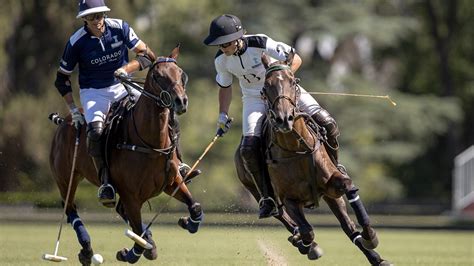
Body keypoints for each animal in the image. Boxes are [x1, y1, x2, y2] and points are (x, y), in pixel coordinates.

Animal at [49, 45, 202, 264]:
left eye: (180, 74)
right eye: (157, 76)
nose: (181, 101)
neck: (150, 145)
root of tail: (65, 120)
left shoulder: (172, 183)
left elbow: (195, 207)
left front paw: (186, 222)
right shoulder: (131, 196)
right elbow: (137, 234)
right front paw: (130, 253)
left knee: (116, 211)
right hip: (65, 178)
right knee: (70, 207)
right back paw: (86, 250)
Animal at [234, 51, 392, 264]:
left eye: (293, 81)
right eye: (266, 85)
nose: (284, 119)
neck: (295, 148)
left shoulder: (332, 185)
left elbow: (349, 188)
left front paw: (371, 237)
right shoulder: (290, 198)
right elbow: (307, 231)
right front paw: (306, 244)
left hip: (330, 195)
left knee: (348, 226)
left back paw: (375, 257)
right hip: (255, 190)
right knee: (278, 213)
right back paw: (299, 239)